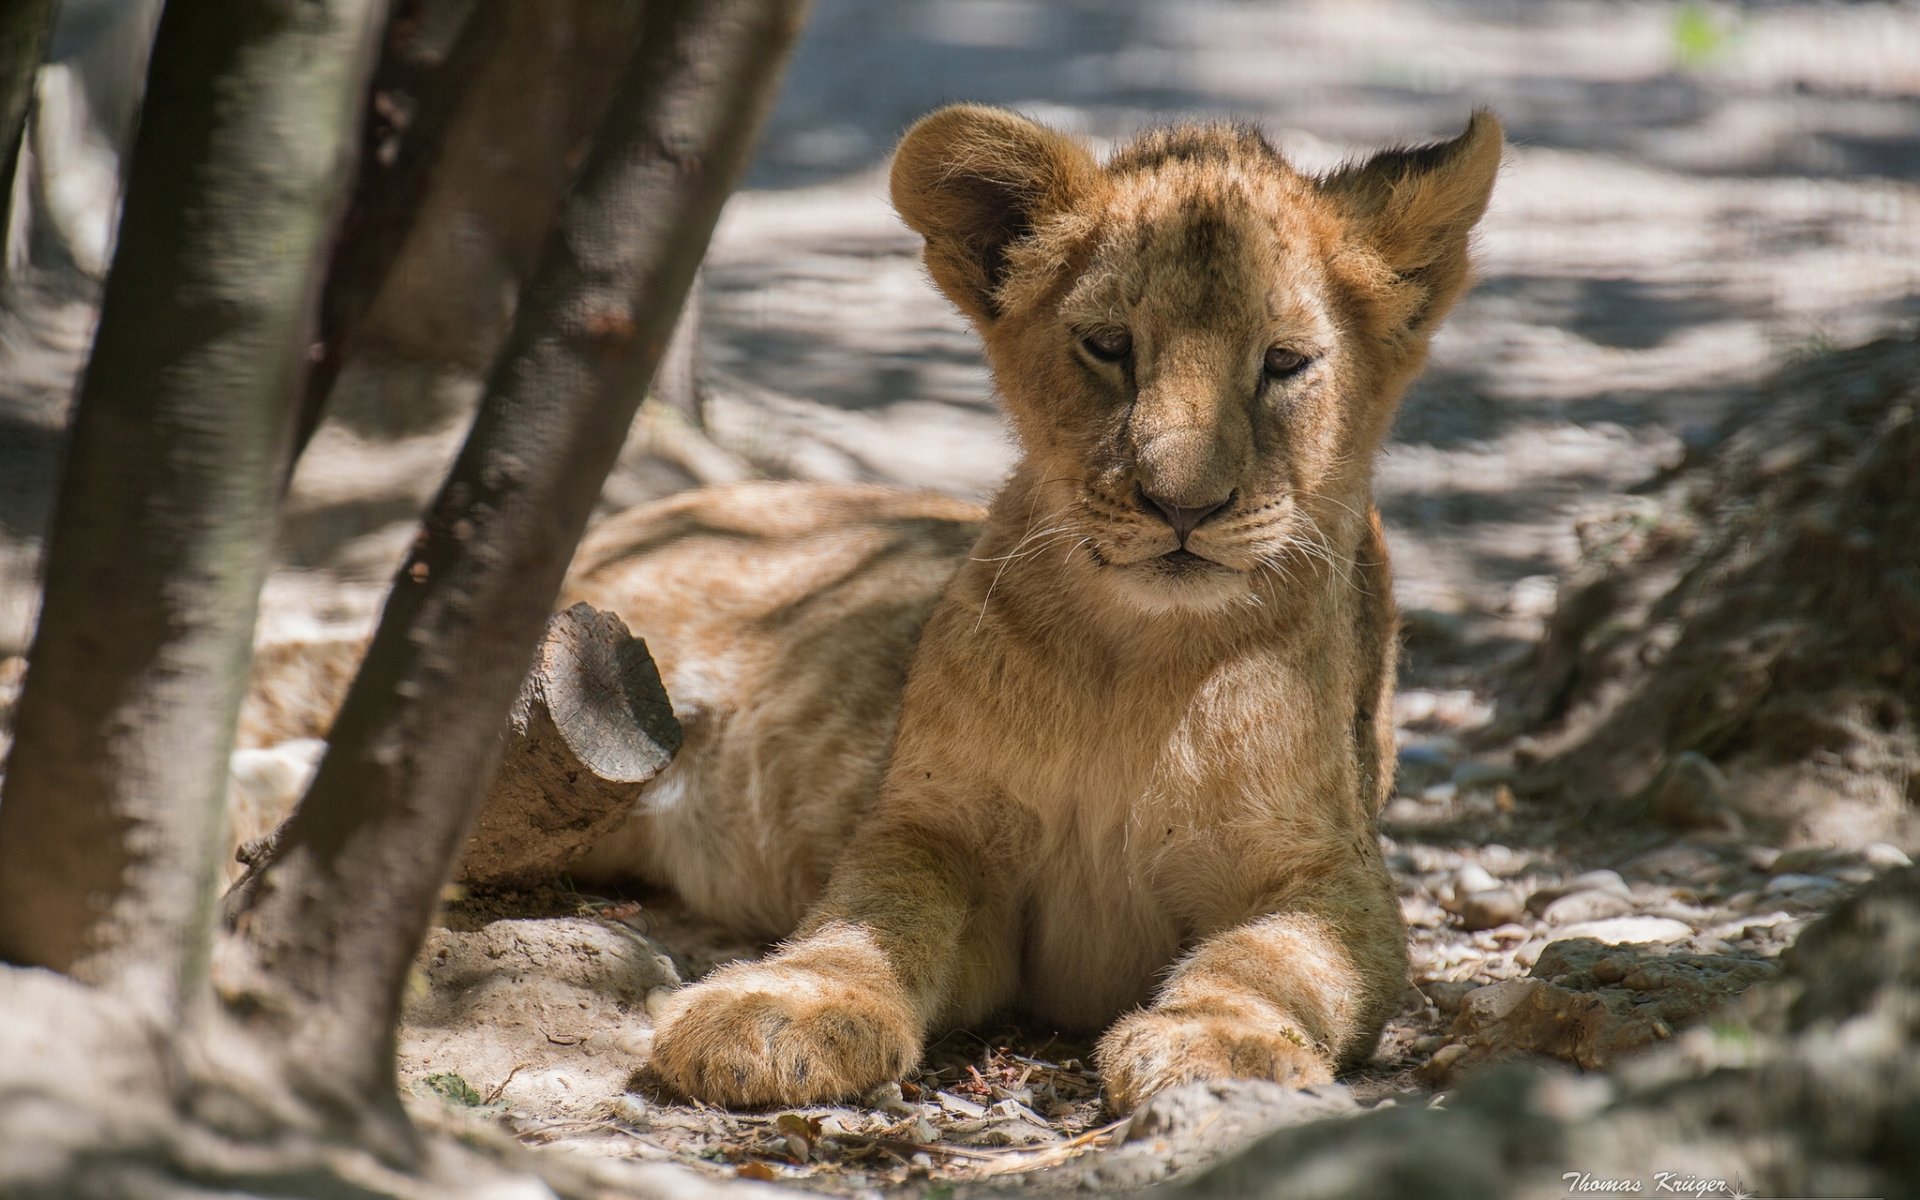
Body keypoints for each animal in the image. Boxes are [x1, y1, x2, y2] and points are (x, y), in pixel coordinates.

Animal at [554, 105, 1503, 1111]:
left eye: (1284, 364)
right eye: (1110, 346)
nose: (1184, 506)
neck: (1141, 657)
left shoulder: (1330, 876)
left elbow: (1276, 963)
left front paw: (1226, 1042)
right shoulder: (938, 829)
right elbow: (872, 914)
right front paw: (783, 1008)